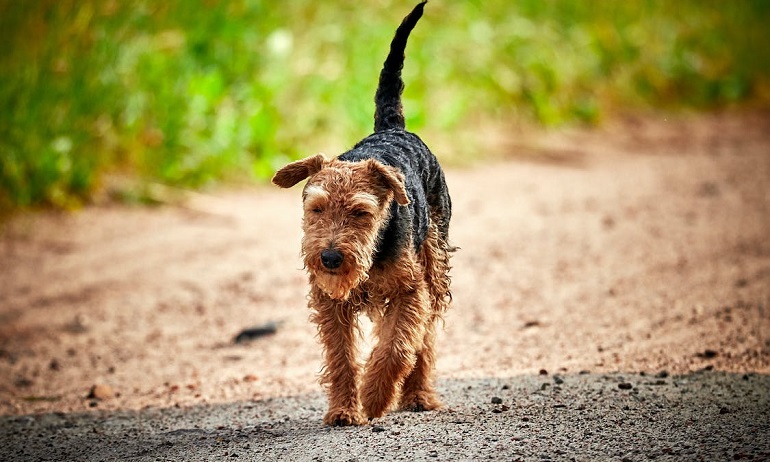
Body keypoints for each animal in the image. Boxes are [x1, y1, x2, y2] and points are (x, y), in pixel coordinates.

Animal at [272, 0, 450, 426]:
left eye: (360, 212)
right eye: (316, 207)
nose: (330, 258)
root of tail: (393, 126)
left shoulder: (409, 290)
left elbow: (398, 347)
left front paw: (373, 398)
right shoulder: (330, 302)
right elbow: (341, 358)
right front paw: (343, 410)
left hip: (434, 268)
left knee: (424, 338)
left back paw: (418, 395)